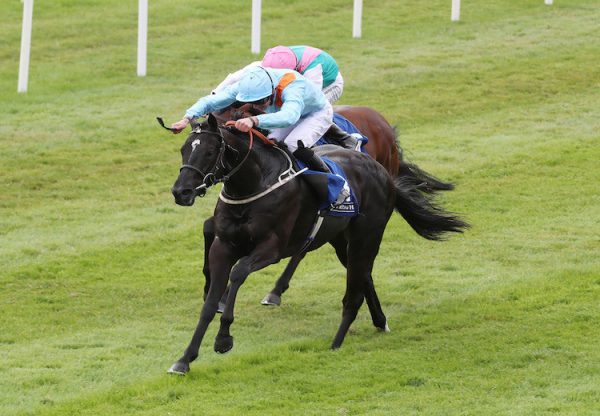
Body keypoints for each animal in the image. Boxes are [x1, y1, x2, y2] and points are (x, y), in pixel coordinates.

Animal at [169, 113, 468, 374]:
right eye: (184, 149)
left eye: (209, 152)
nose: (181, 191)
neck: (252, 187)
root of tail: (382, 169)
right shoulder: (223, 246)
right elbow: (210, 304)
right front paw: (185, 359)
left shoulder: (272, 248)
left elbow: (238, 273)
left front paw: (223, 338)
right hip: (341, 240)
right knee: (363, 275)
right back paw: (379, 321)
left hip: (366, 235)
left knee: (355, 286)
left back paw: (338, 342)